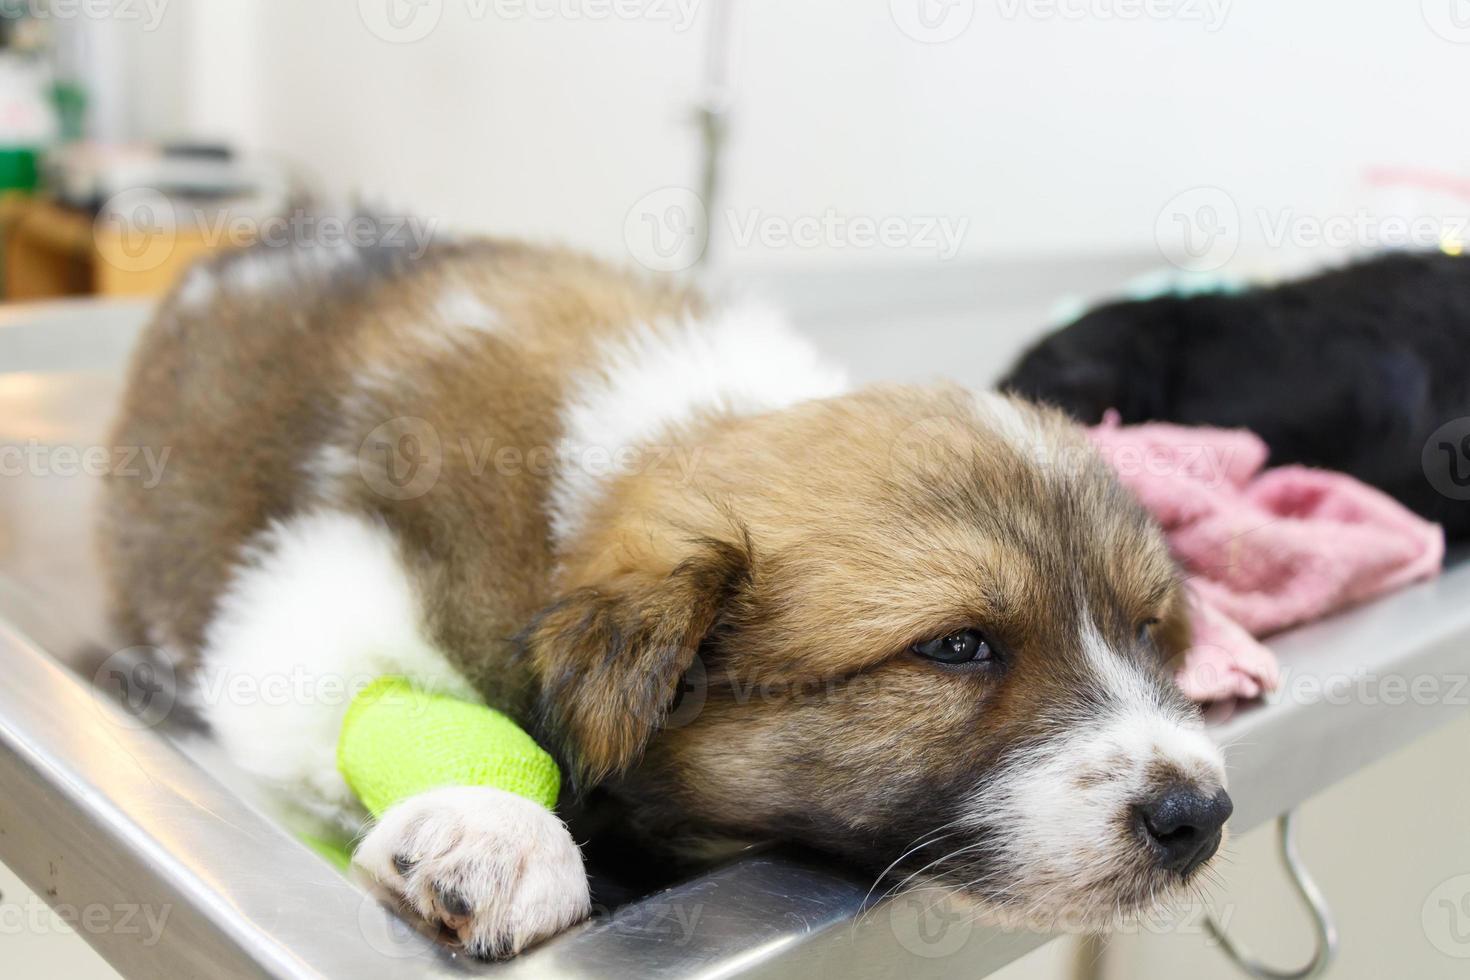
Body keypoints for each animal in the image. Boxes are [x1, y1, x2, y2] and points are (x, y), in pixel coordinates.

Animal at [100, 235, 1228, 957]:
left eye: (1144, 626)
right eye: (956, 647)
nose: (1201, 814)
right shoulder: (316, 583)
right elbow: (378, 693)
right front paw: (491, 827)